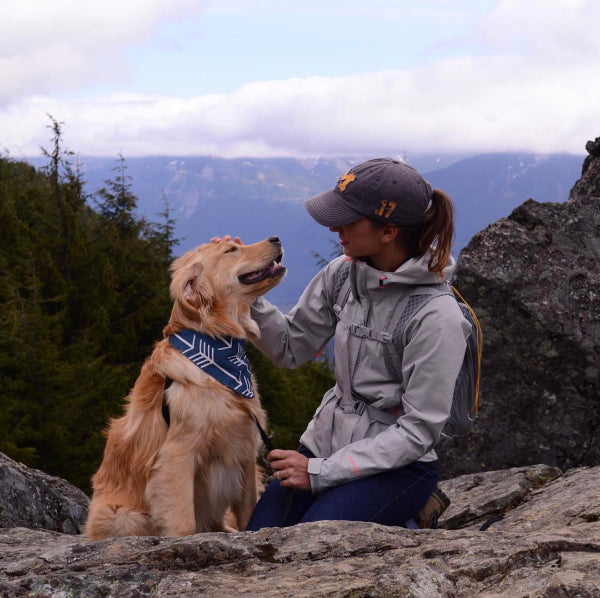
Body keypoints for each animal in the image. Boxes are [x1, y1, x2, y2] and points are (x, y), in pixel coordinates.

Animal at [84, 237, 286, 540]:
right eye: (231, 250)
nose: (276, 238)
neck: (218, 350)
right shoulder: (178, 453)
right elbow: (183, 522)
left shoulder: (246, 450)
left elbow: (249, 512)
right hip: (122, 515)